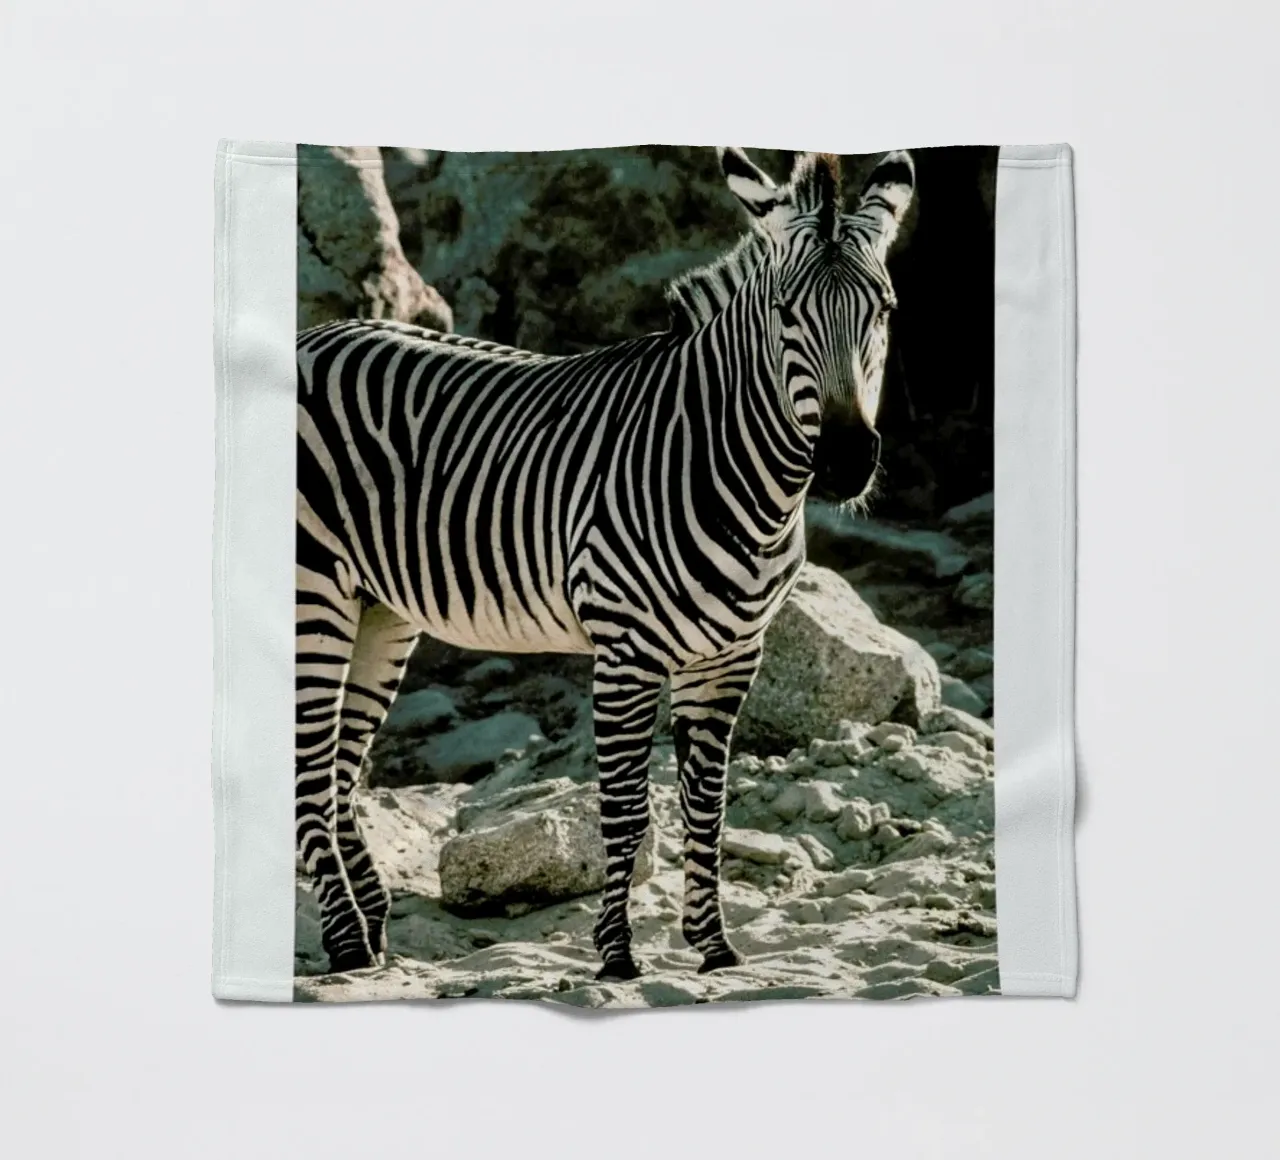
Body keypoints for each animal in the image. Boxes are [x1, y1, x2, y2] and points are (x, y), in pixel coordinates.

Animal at [296, 146, 915, 979]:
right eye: (785, 311)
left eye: (883, 309)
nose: (847, 462)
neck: (730, 468)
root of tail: (314, 335)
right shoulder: (626, 650)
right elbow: (625, 811)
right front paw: (617, 954)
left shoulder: (732, 657)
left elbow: (707, 807)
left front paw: (714, 946)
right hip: (314, 593)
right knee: (307, 770)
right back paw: (343, 943)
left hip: (380, 609)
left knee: (336, 771)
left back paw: (371, 935)